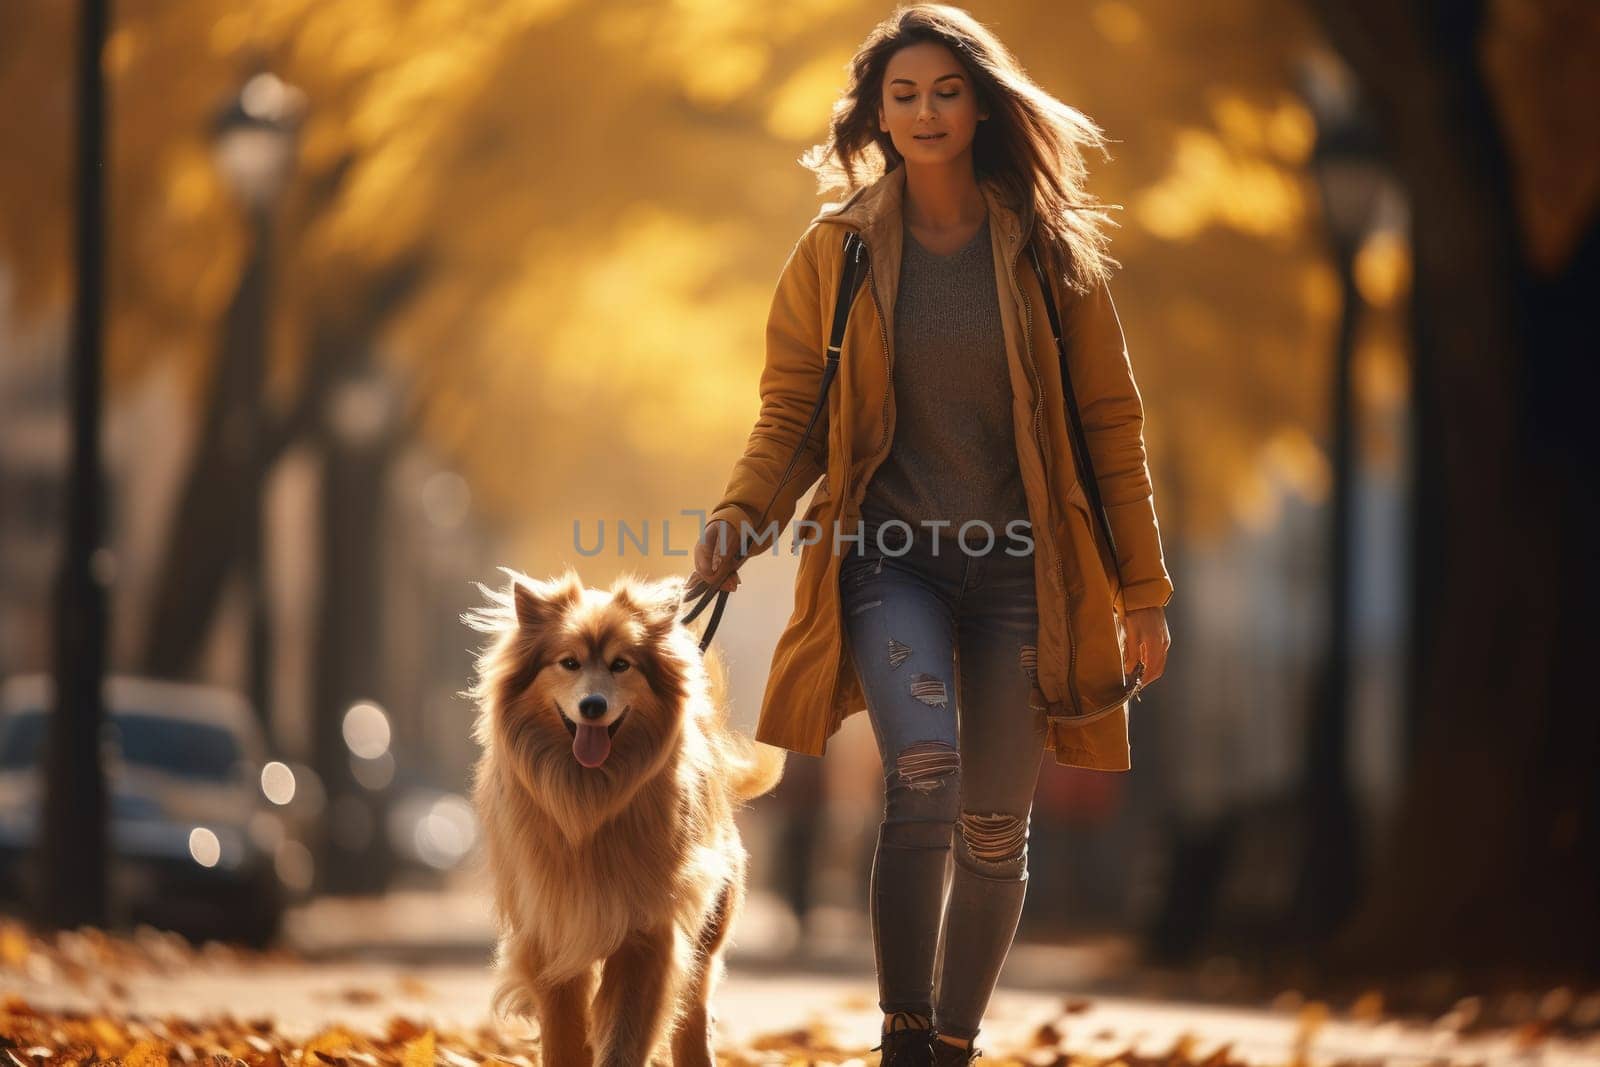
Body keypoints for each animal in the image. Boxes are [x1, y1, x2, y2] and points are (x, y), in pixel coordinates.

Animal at [464, 566, 787, 1067]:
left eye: (621, 665)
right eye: (569, 663)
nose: (593, 705)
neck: (589, 802)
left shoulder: (647, 931)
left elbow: (627, 1032)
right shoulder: (552, 930)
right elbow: (565, 1035)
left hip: (709, 926)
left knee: (694, 1010)